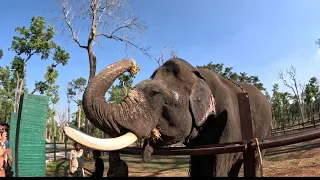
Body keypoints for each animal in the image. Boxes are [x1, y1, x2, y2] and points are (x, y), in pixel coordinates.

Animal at [63, 58, 272, 177]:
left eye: (155, 94)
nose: (132, 65)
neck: (197, 75)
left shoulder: (228, 122)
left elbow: (220, 164)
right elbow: (200, 164)